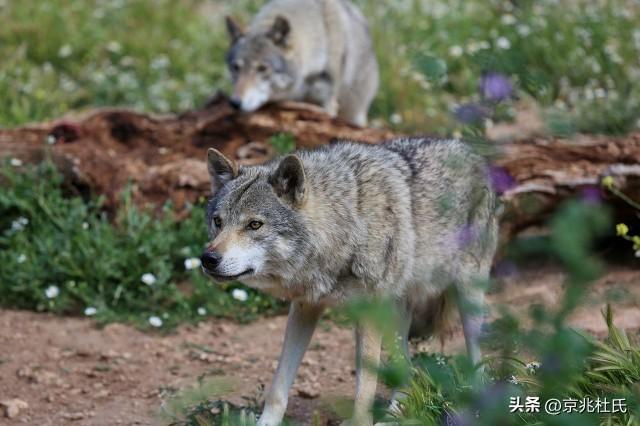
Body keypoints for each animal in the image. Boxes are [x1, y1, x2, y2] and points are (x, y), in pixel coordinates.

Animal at [202, 138, 498, 424]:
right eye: (218, 222)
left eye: (254, 225)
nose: (207, 258)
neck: (347, 225)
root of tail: (471, 151)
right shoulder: (305, 307)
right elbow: (278, 387)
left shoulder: (368, 314)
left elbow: (364, 389)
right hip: (395, 315)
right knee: (408, 370)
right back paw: (395, 416)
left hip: (466, 301)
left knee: (477, 362)